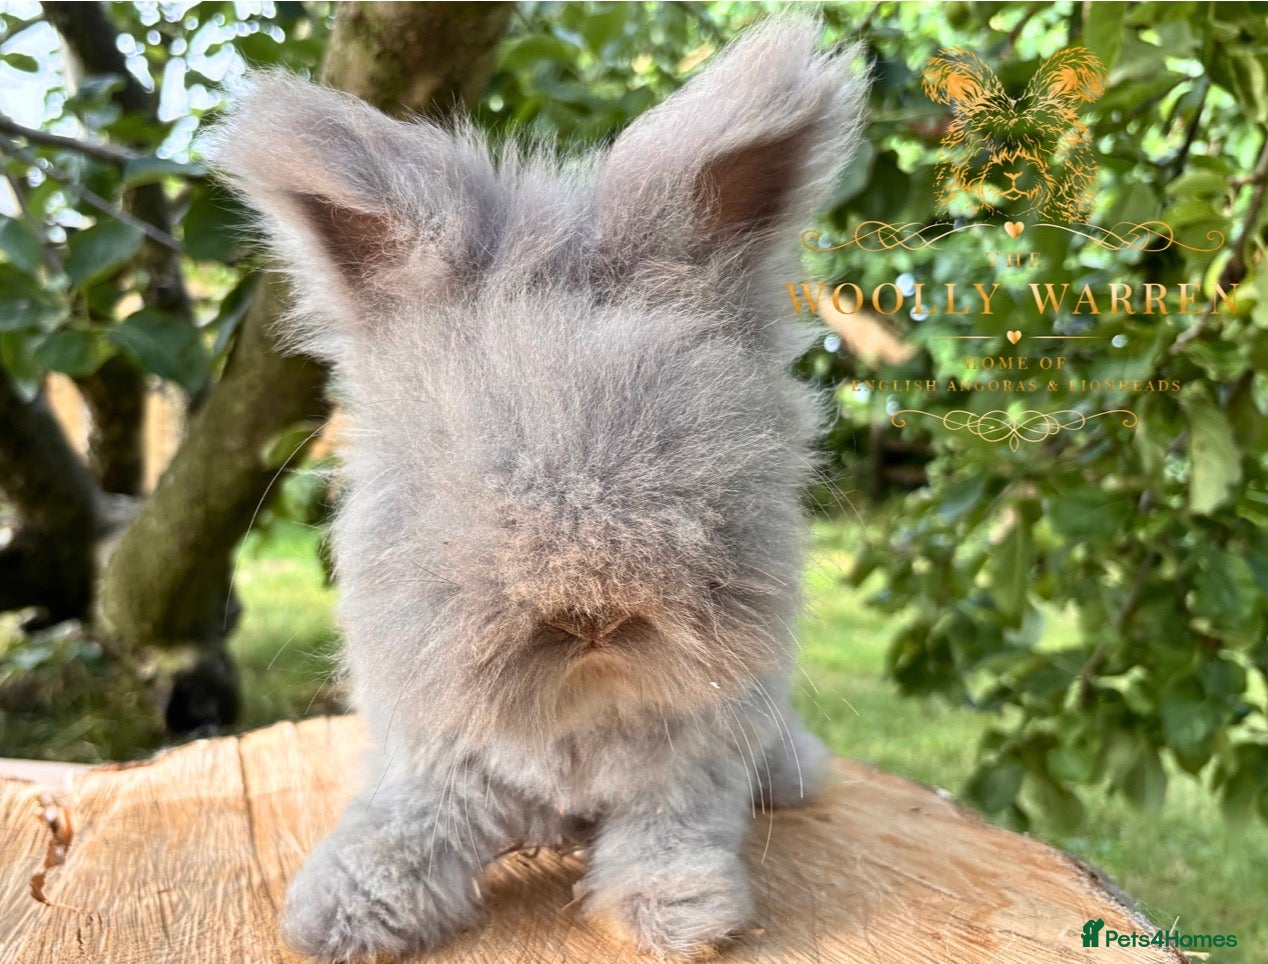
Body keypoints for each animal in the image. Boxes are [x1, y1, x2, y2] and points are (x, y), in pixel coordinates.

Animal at [210, 15, 867, 962]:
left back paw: (793, 777)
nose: (589, 619)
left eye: (698, 458)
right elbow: (400, 830)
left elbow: (669, 831)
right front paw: (336, 915)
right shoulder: (437, 765)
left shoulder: (689, 771)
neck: (577, 710)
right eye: (447, 470)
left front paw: (678, 913)